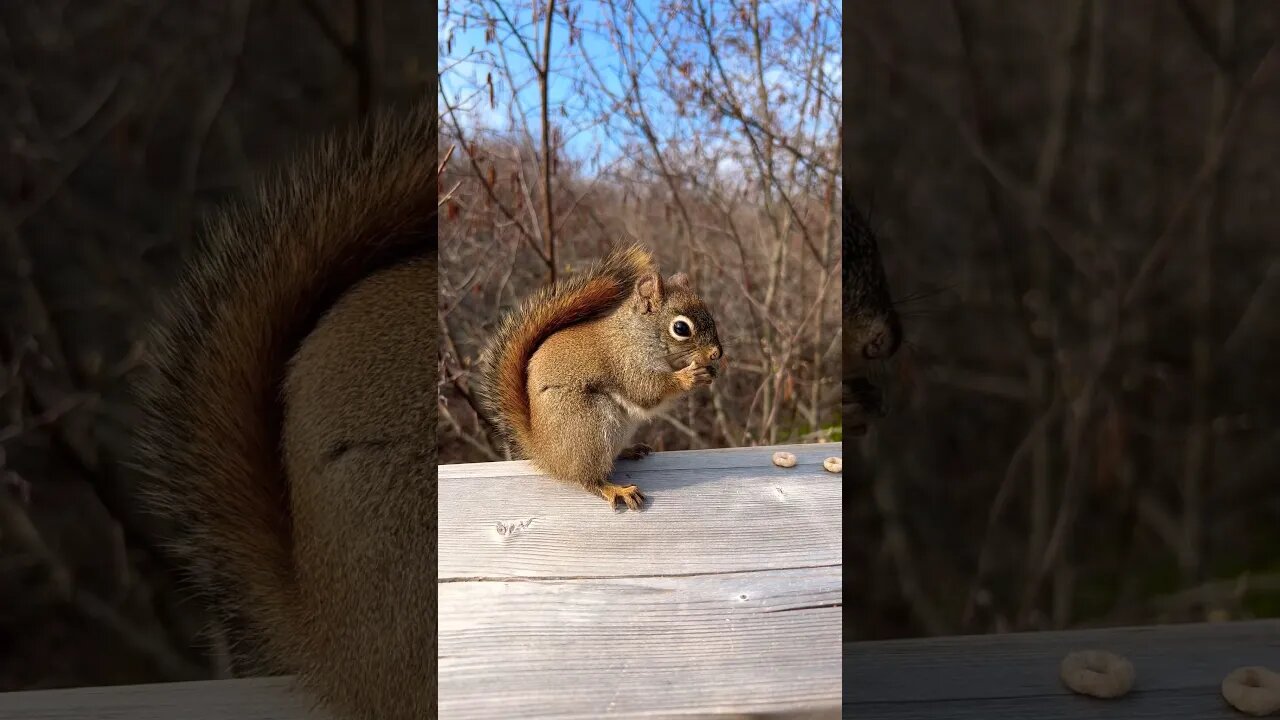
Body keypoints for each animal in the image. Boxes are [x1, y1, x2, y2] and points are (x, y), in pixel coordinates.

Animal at [476, 245, 724, 511]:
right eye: (681, 328)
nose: (716, 353)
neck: (636, 333)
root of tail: (544, 453)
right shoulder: (626, 362)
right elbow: (646, 390)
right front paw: (690, 376)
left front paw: (710, 371)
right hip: (589, 426)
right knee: (588, 479)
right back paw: (616, 489)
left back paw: (629, 451)